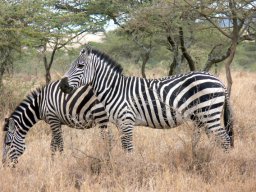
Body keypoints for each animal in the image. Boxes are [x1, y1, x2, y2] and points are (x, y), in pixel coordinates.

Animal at [60, 47, 234, 152]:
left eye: (80, 66)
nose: (62, 85)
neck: (114, 89)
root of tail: (218, 80)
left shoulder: (126, 121)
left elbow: (128, 148)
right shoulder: (119, 123)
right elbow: (124, 147)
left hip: (209, 113)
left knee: (225, 139)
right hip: (201, 116)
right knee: (213, 139)